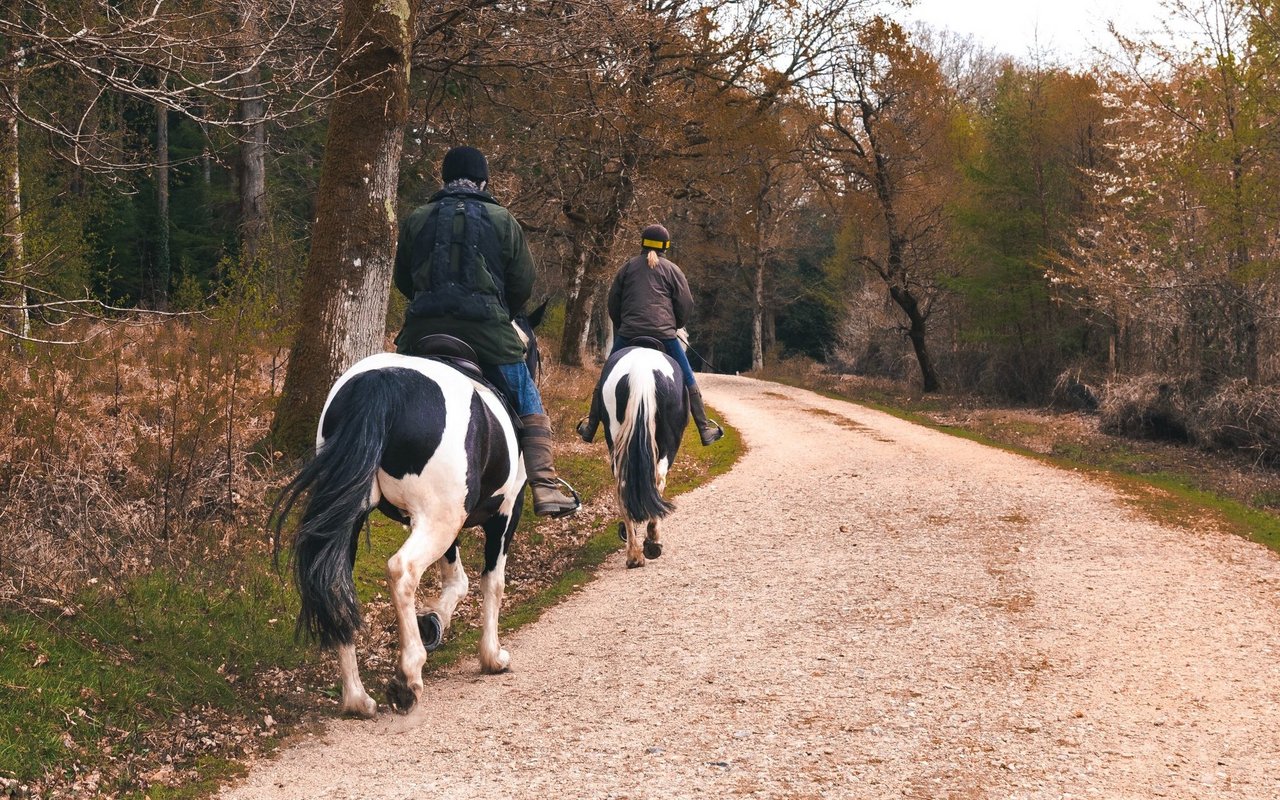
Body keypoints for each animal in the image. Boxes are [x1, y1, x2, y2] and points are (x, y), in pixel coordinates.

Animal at [270, 304, 545, 711]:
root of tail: (382, 383)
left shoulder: (448, 523)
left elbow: (457, 580)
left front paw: (433, 622)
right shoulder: (504, 515)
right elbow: (491, 583)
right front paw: (492, 656)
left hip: (358, 519)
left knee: (335, 582)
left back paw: (357, 698)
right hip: (437, 521)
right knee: (402, 570)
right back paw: (408, 676)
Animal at [586, 340, 691, 568]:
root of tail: (641, 371)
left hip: (617, 439)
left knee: (623, 484)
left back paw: (634, 554)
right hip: (668, 442)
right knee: (658, 480)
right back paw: (651, 542)